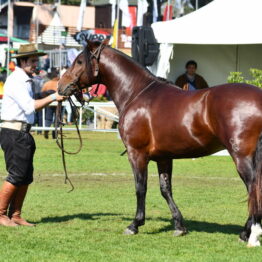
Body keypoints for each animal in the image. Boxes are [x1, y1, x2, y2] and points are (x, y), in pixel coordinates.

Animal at [58, 42, 262, 247]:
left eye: (79, 61)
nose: (61, 86)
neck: (136, 93)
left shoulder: (137, 154)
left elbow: (140, 187)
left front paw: (135, 225)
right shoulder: (164, 158)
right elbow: (166, 189)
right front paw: (179, 226)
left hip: (241, 157)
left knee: (253, 188)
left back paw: (249, 233)